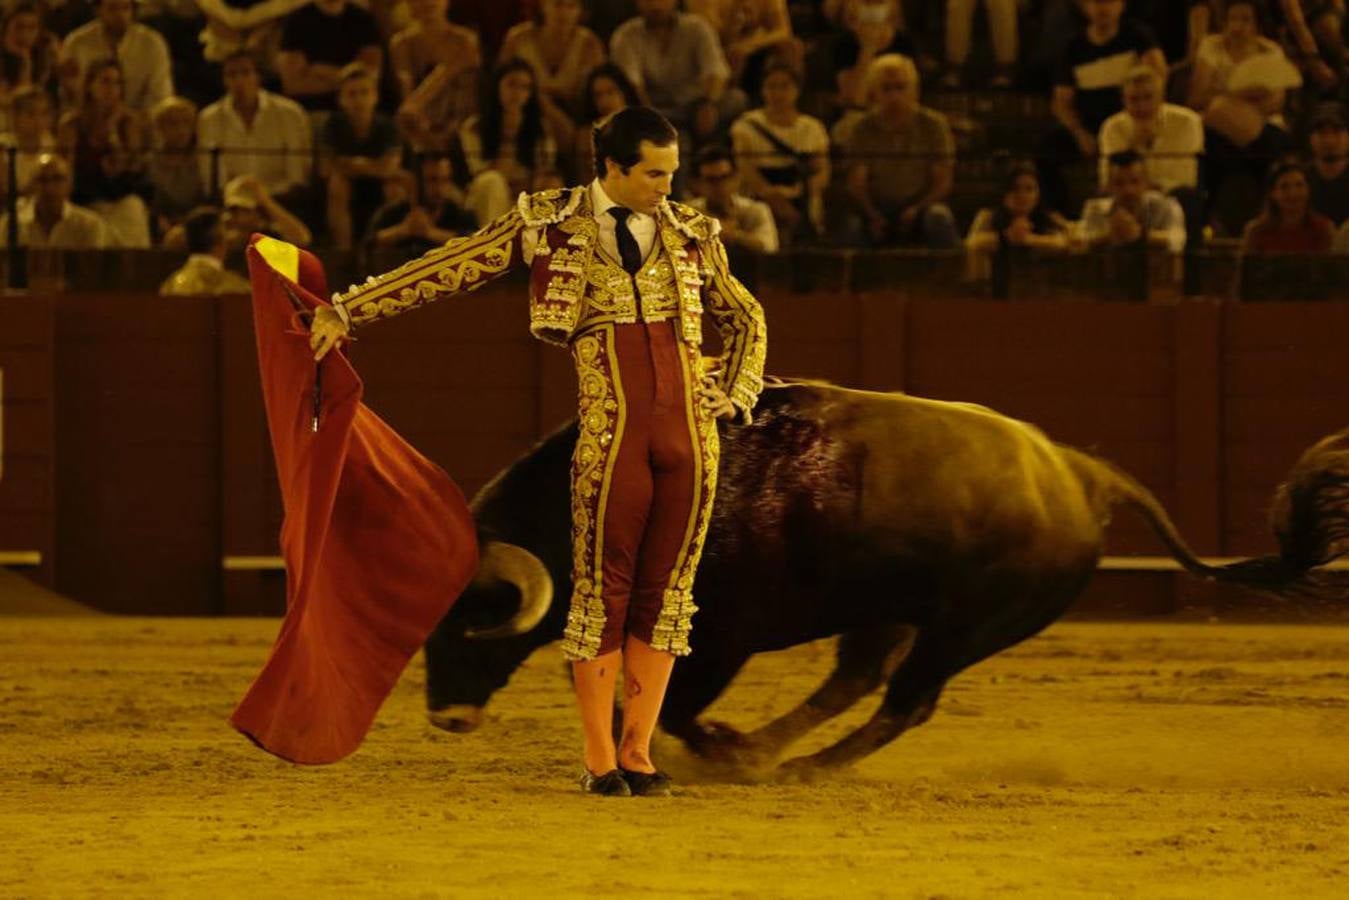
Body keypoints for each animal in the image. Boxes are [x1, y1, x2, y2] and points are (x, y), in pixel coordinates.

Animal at [420, 380, 1349, 777]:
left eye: (471, 616)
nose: (445, 718)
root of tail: (1083, 474)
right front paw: (711, 748)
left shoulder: (720, 636)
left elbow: (672, 703)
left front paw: (716, 749)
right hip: (889, 609)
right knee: (857, 681)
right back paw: (775, 751)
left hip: (964, 629)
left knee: (905, 702)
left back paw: (798, 766)